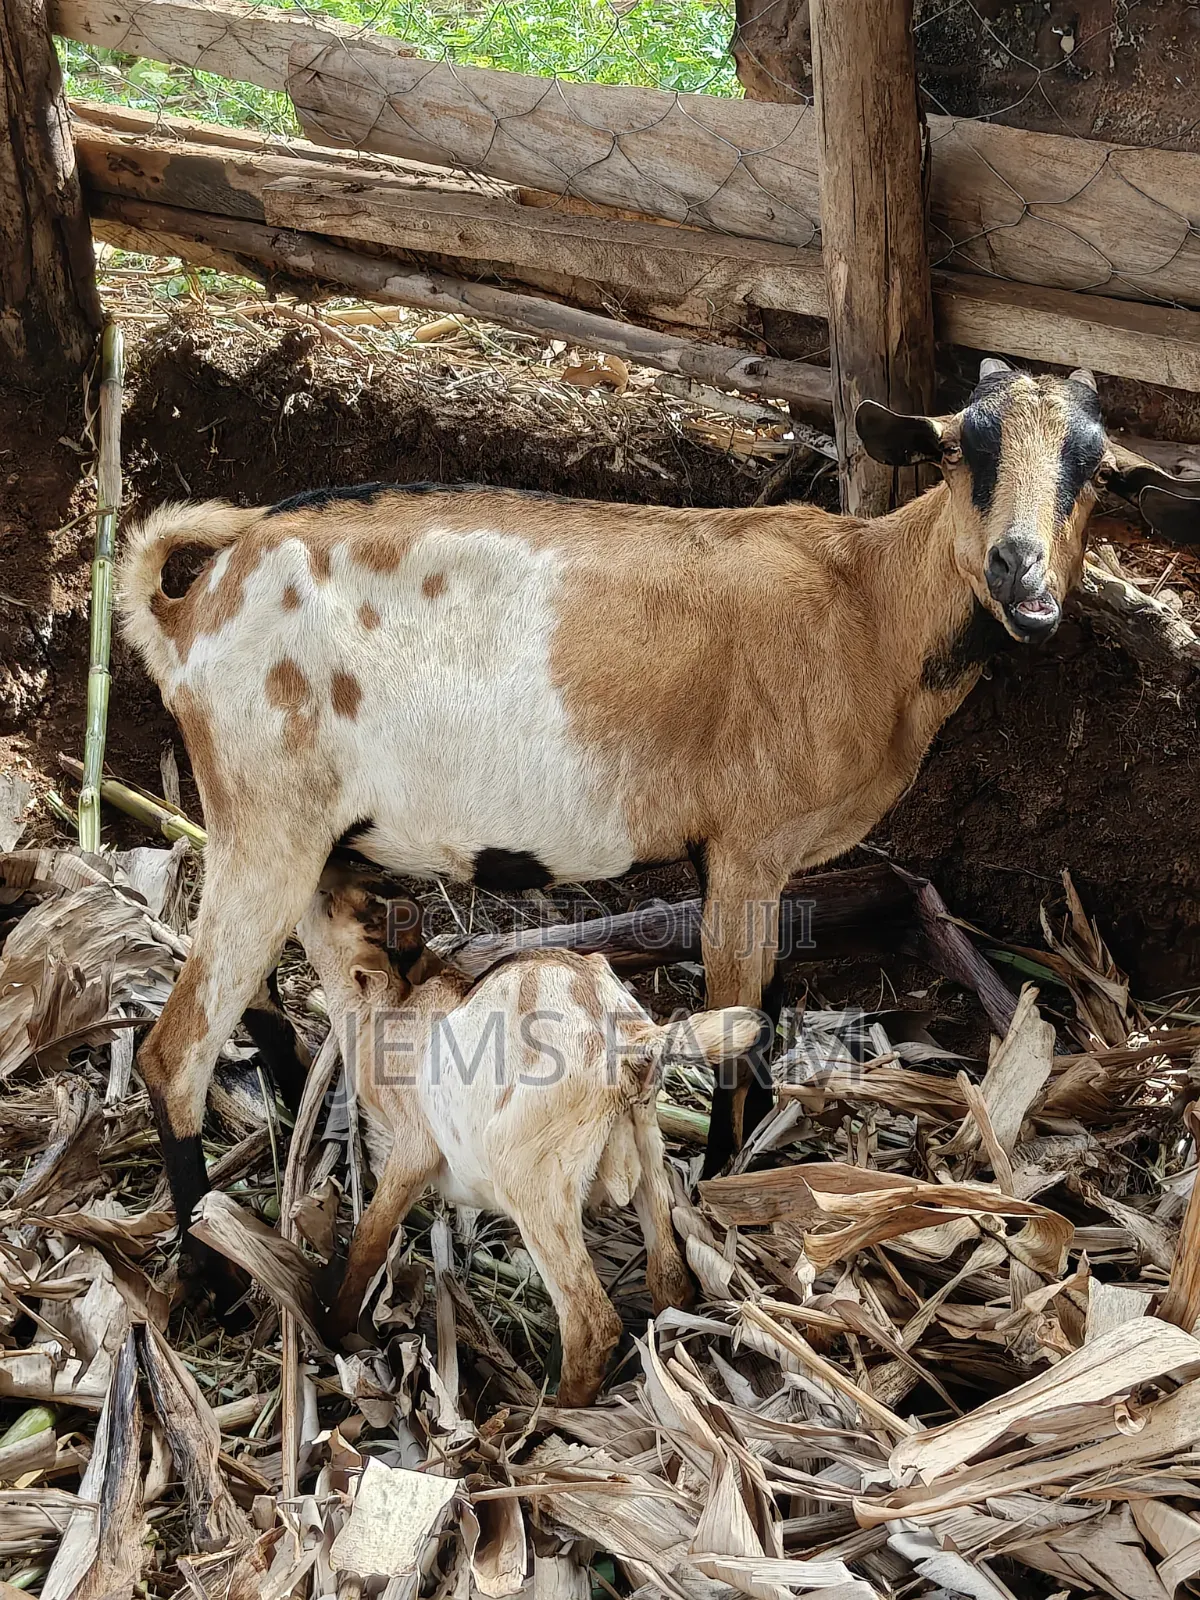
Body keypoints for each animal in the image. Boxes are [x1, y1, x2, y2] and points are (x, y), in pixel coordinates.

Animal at [116, 357, 1200, 1289]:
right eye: (963, 448)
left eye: (1096, 469)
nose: (1023, 576)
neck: (868, 608)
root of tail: (196, 605)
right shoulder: (747, 848)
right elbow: (740, 1025)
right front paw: (723, 1184)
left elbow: (763, 1016)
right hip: (267, 817)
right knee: (174, 1051)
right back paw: (206, 1268)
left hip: (300, 832)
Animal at [296, 868, 758, 1403]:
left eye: (329, 905)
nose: (323, 875)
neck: (393, 1011)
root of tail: (631, 1042)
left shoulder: (413, 1146)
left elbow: (369, 1237)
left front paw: (336, 1333)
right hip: (646, 1145)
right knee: (669, 1275)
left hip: (534, 1184)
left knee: (591, 1324)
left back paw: (557, 1414)